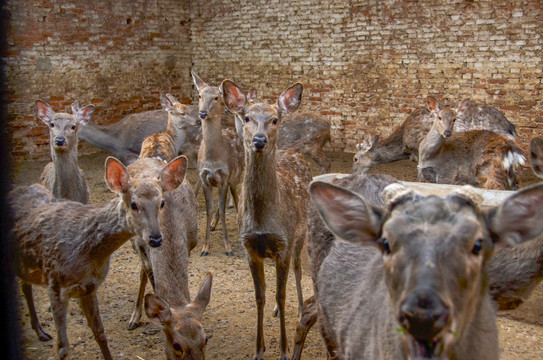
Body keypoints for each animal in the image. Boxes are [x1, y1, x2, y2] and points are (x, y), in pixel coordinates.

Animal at [10, 155, 187, 360]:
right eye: (133, 204)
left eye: (162, 203)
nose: (156, 239)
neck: (87, 252)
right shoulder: (55, 284)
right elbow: (62, 347)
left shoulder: (89, 286)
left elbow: (100, 333)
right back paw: (40, 331)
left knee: (25, 284)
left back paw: (39, 330)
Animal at [190, 71, 243, 256]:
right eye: (199, 95)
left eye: (216, 97)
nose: (202, 113)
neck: (213, 159)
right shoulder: (205, 178)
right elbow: (209, 210)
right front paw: (205, 247)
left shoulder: (224, 178)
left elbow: (222, 207)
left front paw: (228, 247)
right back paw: (214, 224)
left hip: (236, 176)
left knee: (235, 198)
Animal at [221, 79, 312, 360]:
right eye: (247, 117)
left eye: (274, 119)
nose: (259, 140)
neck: (263, 222)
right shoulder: (250, 247)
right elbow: (259, 295)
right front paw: (258, 350)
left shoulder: (284, 243)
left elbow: (282, 294)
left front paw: (283, 350)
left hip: (301, 234)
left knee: (298, 268)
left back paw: (300, 306)